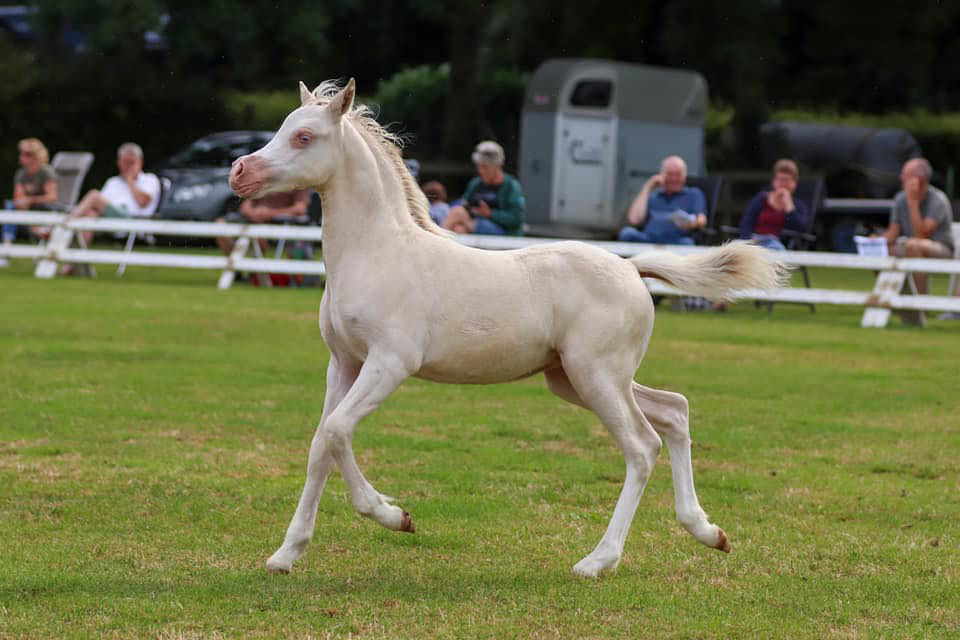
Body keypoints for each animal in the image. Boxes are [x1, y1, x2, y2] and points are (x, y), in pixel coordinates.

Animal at [231, 80, 788, 580]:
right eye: (283, 127)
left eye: (305, 136)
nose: (239, 172)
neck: (377, 252)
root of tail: (632, 269)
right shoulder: (343, 363)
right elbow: (320, 444)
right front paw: (286, 554)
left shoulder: (390, 363)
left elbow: (338, 431)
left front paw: (395, 515)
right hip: (574, 378)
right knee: (674, 411)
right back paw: (707, 531)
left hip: (595, 376)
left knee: (641, 446)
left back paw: (597, 561)